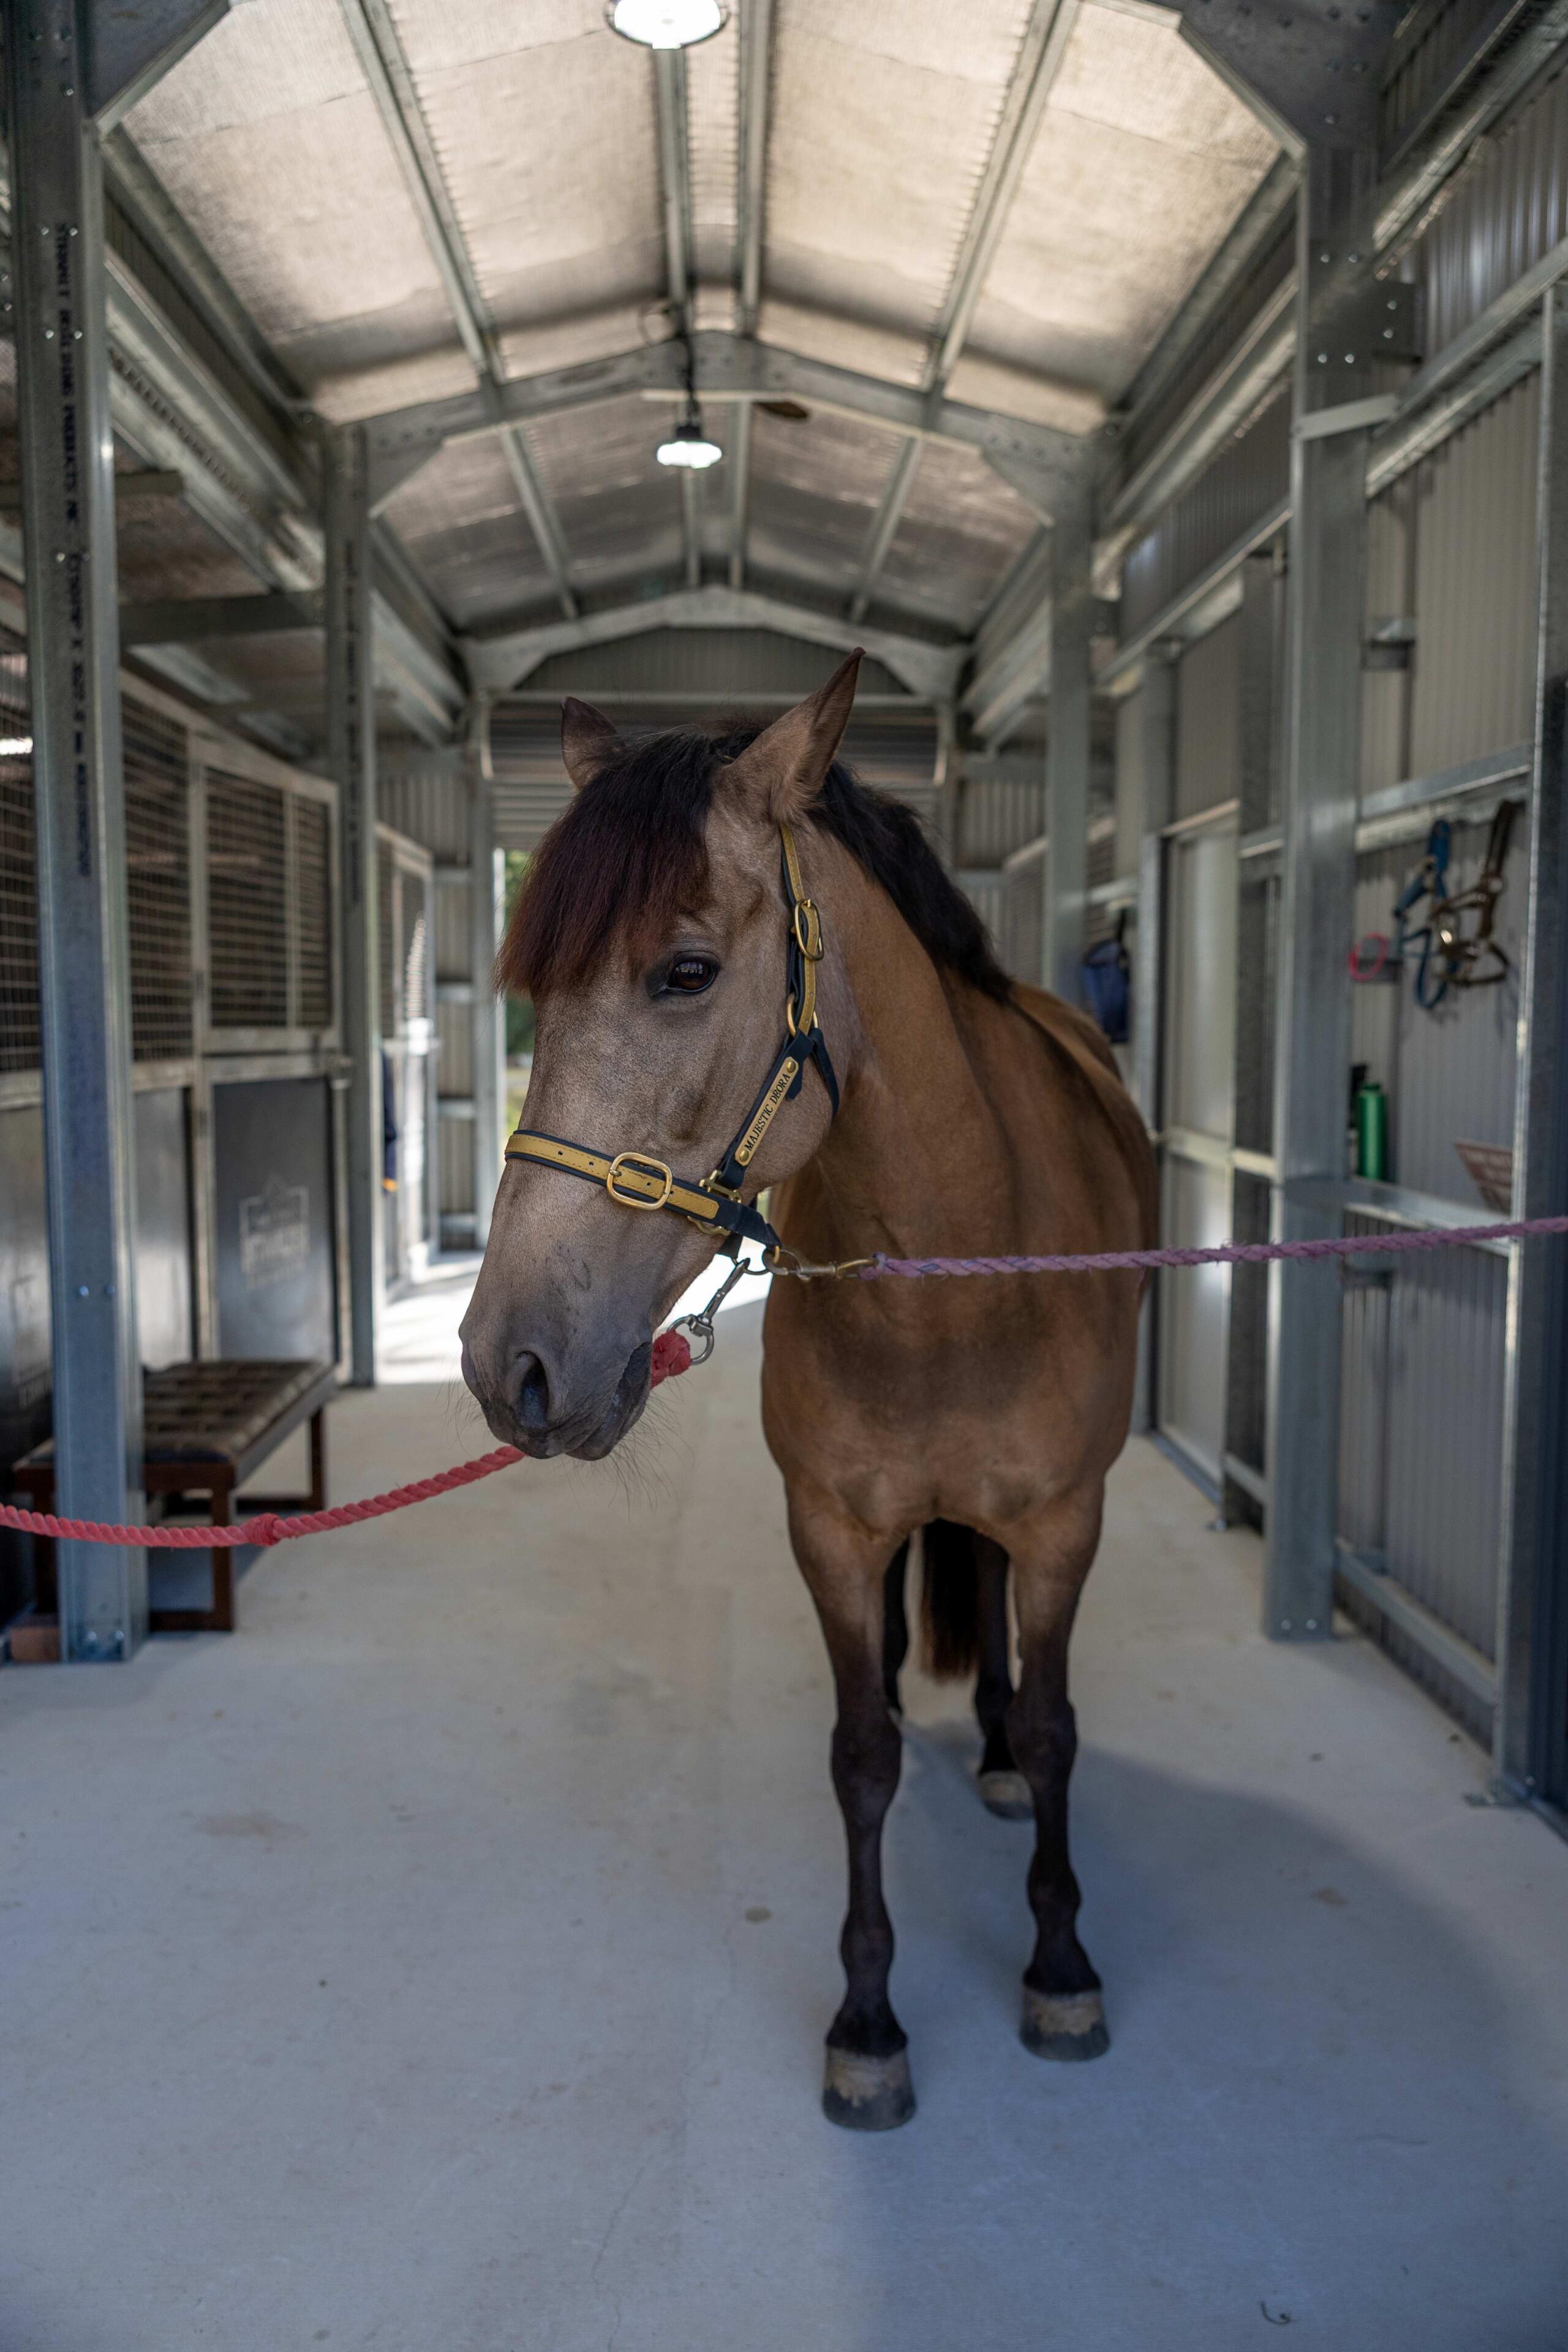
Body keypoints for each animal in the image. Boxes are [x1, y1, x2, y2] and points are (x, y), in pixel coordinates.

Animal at [460, 654, 1157, 2131]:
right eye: (536, 991)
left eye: (684, 972)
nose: (509, 1364)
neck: (964, 1267)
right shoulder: (830, 1530)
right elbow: (860, 1757)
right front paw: (869, 2022)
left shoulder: (1065, 1523)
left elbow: (1059, 1728)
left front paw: (1061, 1963)